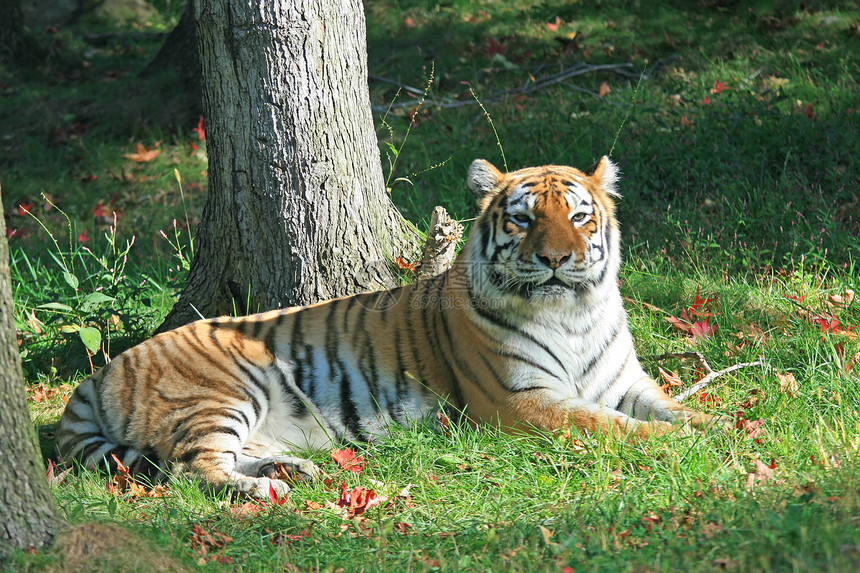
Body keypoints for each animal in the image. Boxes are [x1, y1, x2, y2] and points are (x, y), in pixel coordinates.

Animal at [53, 156, 724, 496]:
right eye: (524, 219)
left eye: (580, 218)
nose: (558, 259)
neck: (574, 314)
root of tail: (102, 372)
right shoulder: (521, 400)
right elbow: (609, 427)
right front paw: (679, 446)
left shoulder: (626, 383)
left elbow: (675, 410)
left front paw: (723, 429)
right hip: (220, 393)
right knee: (192, 468)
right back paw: (262, 493)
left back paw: (289, 471)